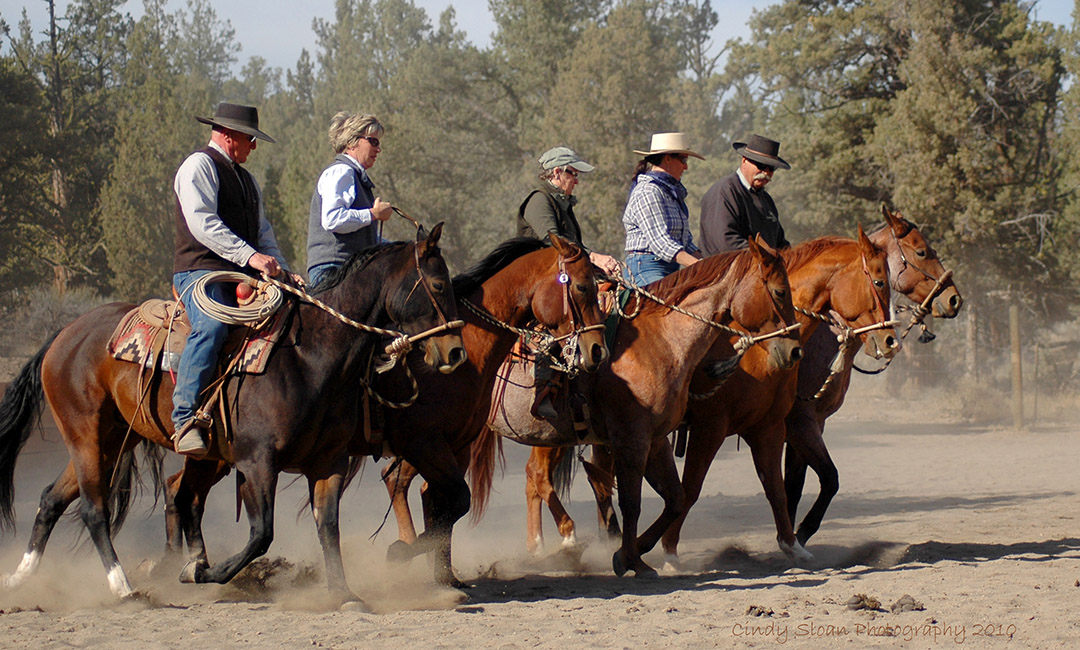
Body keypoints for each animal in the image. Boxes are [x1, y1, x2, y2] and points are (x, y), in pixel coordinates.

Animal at [0, 223, 460, 600]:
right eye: (438, 284)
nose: (455, 352)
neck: (308, 356)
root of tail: (65, 333)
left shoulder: (329, 461)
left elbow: (328, 526)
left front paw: (344, 595)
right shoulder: (258, 462)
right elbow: (261, 534)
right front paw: (199, 571)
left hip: (116, 440)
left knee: (53, 499)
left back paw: (21, 579)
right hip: (86, 434)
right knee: (95, 509)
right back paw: (123, 587)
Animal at [473, 236, 803, 570]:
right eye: (780, 291)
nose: (794, 350)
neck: (661, 340)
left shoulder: (658, 439)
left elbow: (677, 497)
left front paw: (637, 550)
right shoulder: (639, 438)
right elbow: (635, 501)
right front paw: (631, 559)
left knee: (537, 477)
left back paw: (543, 545)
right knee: (539, 476)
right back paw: (567, 539)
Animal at [777, 204, 963, 546]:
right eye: (922, 250)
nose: (954, 298)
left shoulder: (810, 425)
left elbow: (792, 488)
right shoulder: (799, 422)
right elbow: (827, 479)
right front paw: (801, 533)